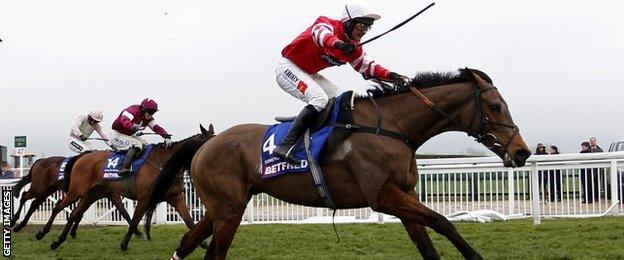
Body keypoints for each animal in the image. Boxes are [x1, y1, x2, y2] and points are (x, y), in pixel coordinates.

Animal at [12, 154, 143, 240]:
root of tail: (39, 161)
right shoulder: (86, 195)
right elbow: (78, 213)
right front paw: (72, 232)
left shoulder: (110, 195)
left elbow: (125, 213)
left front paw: (138, 233)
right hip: (38, 188)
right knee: (24, 196)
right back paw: (15, 220)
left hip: (47, 190)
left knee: (34, 203)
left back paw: (21, 225)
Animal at [39, 125, 216, 251]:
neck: (164, 164)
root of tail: (83, 156)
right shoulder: (144, 198)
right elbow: (135, 220)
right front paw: (124, 244)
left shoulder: (176, 198)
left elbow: (190, 221)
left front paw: (201, 243)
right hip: (78, 190)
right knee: (58, 207)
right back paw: (42, 233)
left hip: (93, 194)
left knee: (75, 213)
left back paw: (58, 241)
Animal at [149, 68, 528, 258]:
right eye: (495, 106)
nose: (523, 152)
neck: (390, 127)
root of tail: (208, 142)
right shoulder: (383, 195)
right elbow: (443, 222)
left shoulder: (403, 195)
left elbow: (429, 243)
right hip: (228, 210)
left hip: (224, 207)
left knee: (189, 242)